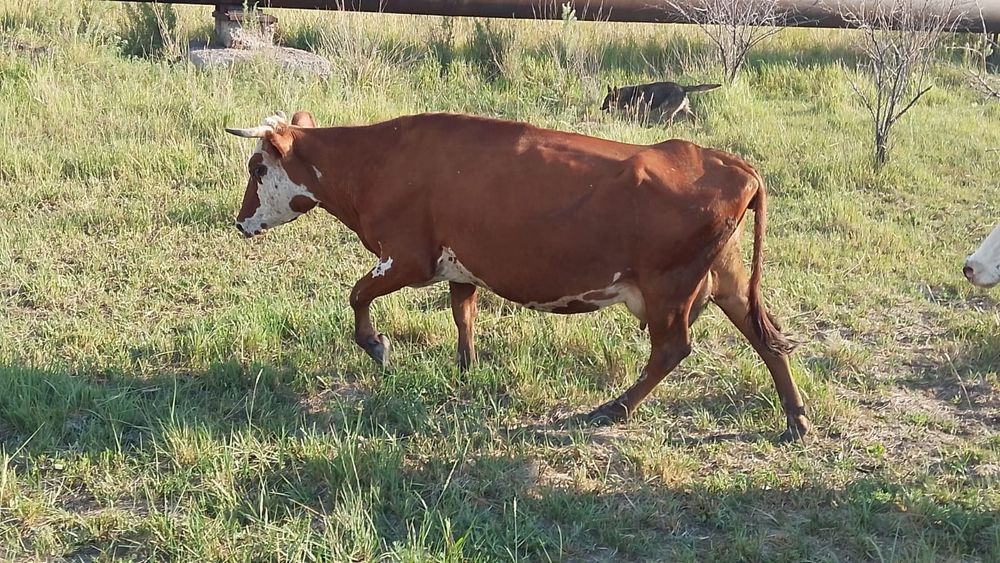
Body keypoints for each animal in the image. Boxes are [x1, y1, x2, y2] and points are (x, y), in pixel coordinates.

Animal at [225, 111, 811, 440]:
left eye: (257, 167)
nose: (240, 220)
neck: (380, 160)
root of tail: (731, 164)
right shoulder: (460, 264)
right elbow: (462, 315)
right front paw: (466, 368)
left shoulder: (408, 259)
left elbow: (357, 295)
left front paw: (375, 345)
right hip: (728, 282)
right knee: (769, 340)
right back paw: (796, 419)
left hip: (670, 289)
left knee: (672, 350)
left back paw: (612, 409)